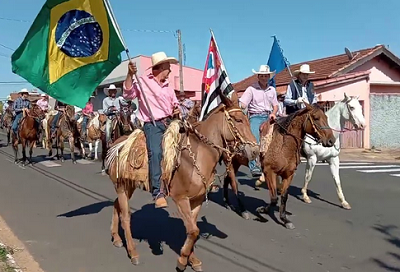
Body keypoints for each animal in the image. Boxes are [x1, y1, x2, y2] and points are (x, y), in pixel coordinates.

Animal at [104, 92, 260, 272]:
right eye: (238, 120)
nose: (255, 150)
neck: (197, 156)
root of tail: (117, 145)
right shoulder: (181, 199)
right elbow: (193, 230)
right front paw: (183, 260)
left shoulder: (197, 199)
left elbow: (192, 229)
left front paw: (192, 260)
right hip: (122, 186)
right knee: (125, 217)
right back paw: (133, 252)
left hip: (128, 186)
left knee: (117, 205)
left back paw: (116, 238)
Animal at [256, 102, 334, 230]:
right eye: (316, 118)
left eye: (326, 117)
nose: (331, 140)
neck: (284, 148)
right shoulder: (270, 172)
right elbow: (274, 198)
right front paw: (263, 210)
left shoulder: (289, 175)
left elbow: (284, 197)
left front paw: (285, 219)